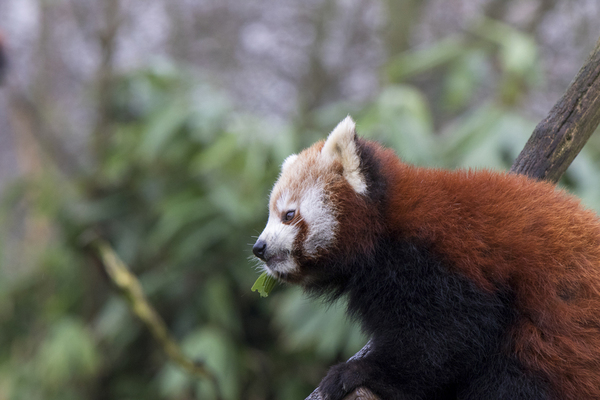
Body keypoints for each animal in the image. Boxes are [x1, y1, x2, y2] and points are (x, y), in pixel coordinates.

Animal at [251, 116, 600, 400]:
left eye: (288, 215)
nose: (259, 247)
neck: (385, 224)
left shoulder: (441, 261)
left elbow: (447, 337)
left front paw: (361, 373)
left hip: (554, 347)